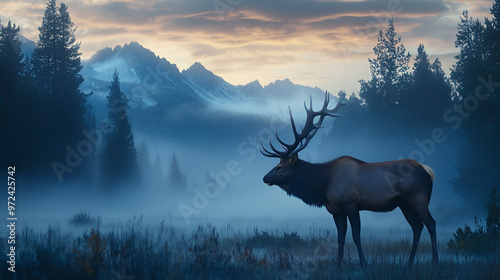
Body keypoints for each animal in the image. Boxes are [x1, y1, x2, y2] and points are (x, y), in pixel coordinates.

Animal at [262, 92, 438, 266]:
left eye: (279, 167)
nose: (265, 177)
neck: (324, 186)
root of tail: (428, 171)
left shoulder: (351, 204)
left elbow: (356, 236)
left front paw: (363, 263)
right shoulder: (336, 210)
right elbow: (340, 238)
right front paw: (339, 264)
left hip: (419, 198)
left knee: (431, 223)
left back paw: (435, 261)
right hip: (404, 204)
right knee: (417, 227)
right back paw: (409, 262)